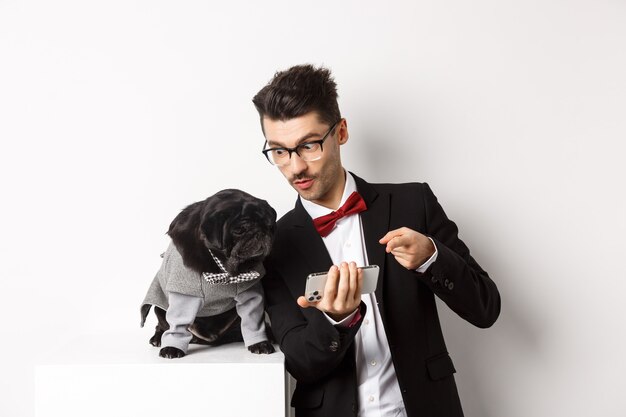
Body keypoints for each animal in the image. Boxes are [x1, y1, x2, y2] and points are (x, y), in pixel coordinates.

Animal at [141, 188, 278, 358]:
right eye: (239, 230)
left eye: (269, 226)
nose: (260, 232)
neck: (223, 267)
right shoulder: (185, 294)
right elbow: (177, 323)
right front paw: (172, 347)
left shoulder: (250, 293)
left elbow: (253, 320)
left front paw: (260, 343)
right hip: (160, 307)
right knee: (162, 325)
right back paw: (158, 338)